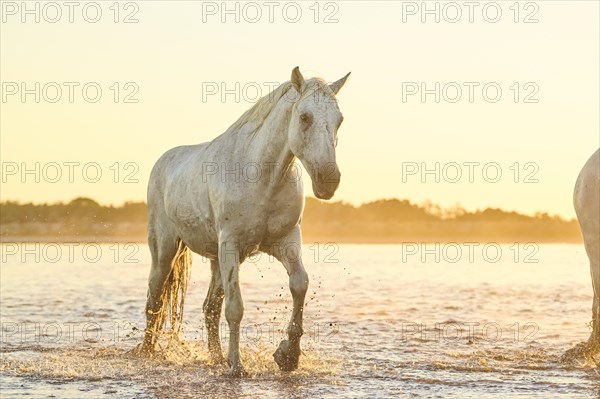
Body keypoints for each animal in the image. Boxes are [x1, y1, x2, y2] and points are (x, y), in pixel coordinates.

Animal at [140, 67, 350, 376]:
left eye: (340, 120)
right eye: (304, 117)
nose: (328, 180)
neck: (262, 178)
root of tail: (162, 162)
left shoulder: (286, 241)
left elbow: (299, 284)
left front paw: (288, 356)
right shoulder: (231, 245)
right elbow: (235, 307)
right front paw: (237, 366)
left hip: (217, 259)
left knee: (210, 308)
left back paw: (216, 357)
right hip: (166, 250)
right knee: (154, 299)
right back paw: (147, 353)